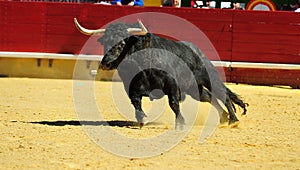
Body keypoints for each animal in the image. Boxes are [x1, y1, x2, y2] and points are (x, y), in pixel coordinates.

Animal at [99, 32, 247, 129]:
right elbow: (136, 103)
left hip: (208, 78)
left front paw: (180, 123)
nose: (104, 63)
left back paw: (233, 120)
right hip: (194, 89)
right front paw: (142, 120)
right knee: (209, 97)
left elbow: (174, 103)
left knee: (223, 95)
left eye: (120, 46)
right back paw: (224, 118)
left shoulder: (172, 84)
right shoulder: (133, 88)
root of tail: (196, 50)